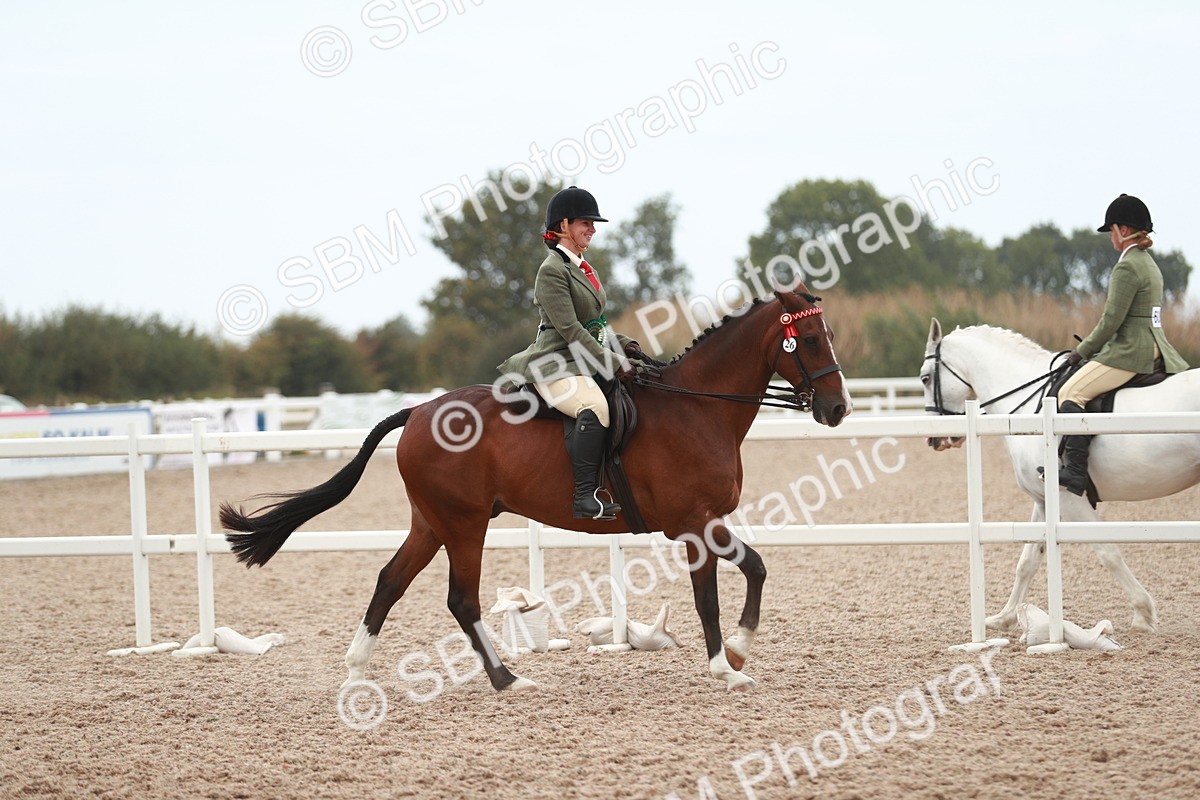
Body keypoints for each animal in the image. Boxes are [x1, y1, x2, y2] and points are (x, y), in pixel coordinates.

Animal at [219, 288, 850, 693]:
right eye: (808, 339)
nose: (838, 409)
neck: (697, 410)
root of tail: (418, 411)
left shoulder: (706, 523)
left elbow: (745, 575)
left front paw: (735, 655)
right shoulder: (696, 524)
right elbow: (721, 589)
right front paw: (730, 661)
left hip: (432, 522)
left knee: (390, 581)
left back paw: (356, 670)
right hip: (465, 524)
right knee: (461, 599)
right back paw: (507, 679)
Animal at [920, 317, 1200, 632]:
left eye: (925, 378)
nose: (934, 439)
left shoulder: (1069, 498)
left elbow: (1107, 552)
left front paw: (1142, 614)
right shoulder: (1043, 499)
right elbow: (1027, 560)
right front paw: (1005, 617)